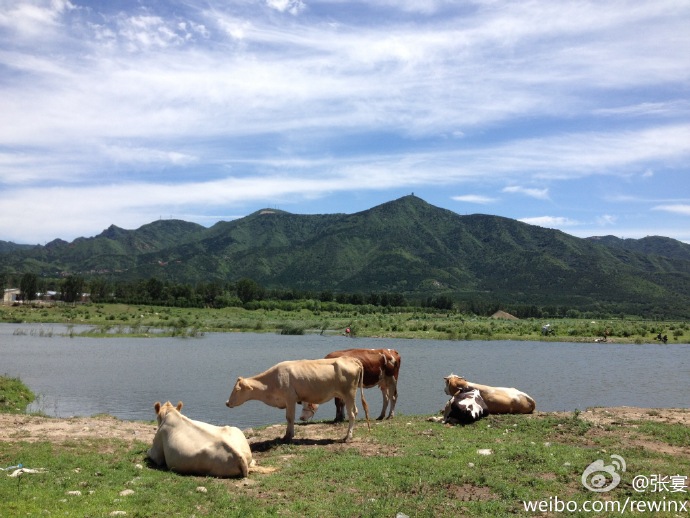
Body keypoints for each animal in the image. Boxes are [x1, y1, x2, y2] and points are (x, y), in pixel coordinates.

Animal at [226, 360, 368, 444]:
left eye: (237, 389)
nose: (227, 403)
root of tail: (350, 359)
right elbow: (289, 418)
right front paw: (287, 435)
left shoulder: (290, 399)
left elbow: (290, 418)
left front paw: (288, 436)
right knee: (354, 412)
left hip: (349, 394)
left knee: (352, 414)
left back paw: (348, 437)